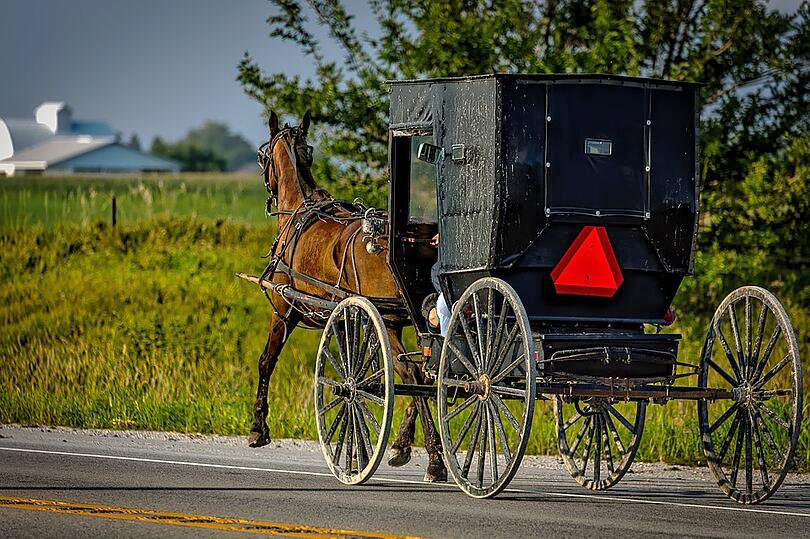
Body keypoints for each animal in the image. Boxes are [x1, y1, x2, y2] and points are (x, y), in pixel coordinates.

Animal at [248, 112, 446, 484]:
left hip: (390, 321)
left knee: (412, 374)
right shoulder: (348, 319)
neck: (299, 211)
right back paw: (404, 447)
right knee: (428, 373)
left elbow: (266, 361)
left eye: (262, 156)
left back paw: (434, 459)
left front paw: (257, 428)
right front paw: (358, 451)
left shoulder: (283, 312)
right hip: (411, 320)